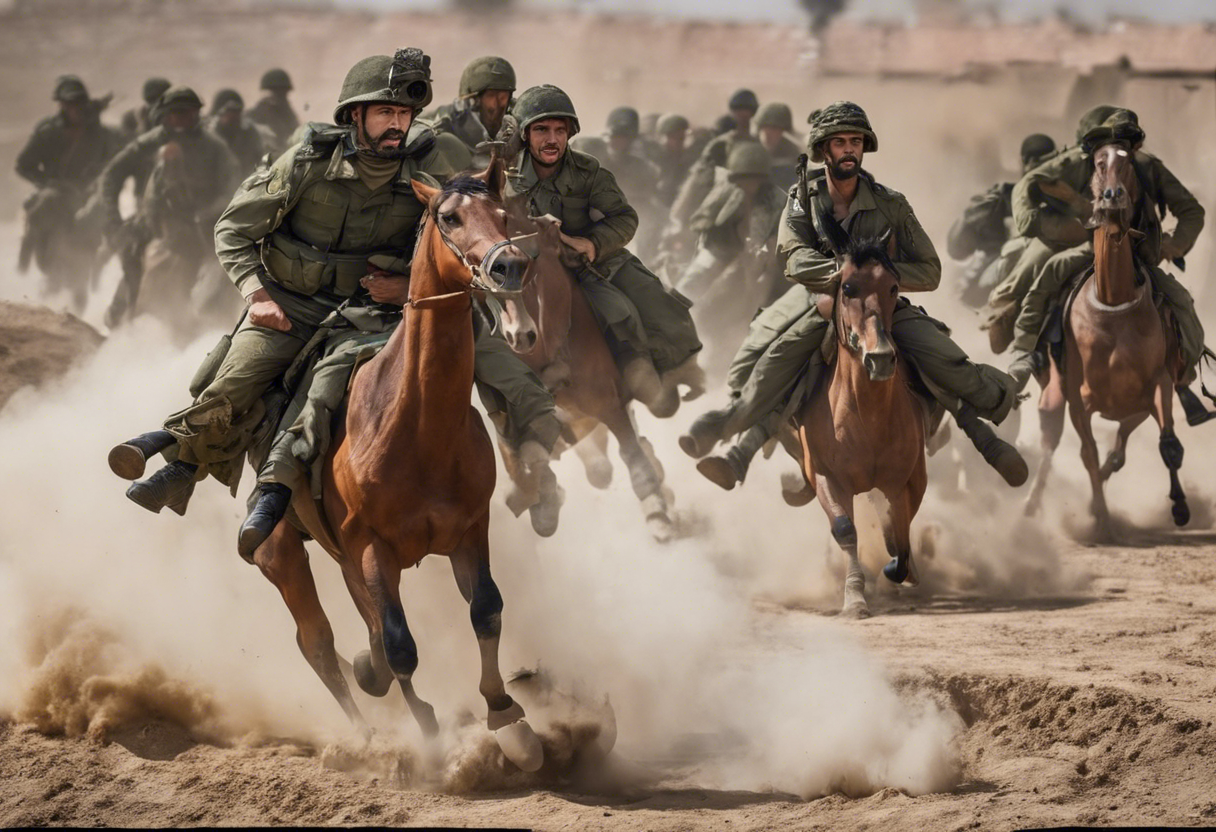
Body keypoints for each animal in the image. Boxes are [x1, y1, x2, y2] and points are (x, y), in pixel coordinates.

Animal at [251, 165, 542, 768]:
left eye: (505, 216)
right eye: (449, 217)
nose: (508, 266)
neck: (419, 430)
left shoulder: (468, 529)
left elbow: (486, 609)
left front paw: (506, 714)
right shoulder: (371, 548)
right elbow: (402, 644)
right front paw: (430, 737)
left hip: (342, 557)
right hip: (281, 550)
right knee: (317, 641)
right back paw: (362, 735)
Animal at [783, 233, 924, 617]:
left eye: (893, 286)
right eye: (847, 287)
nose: (880, 359)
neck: (867, 416)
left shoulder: (904, 480)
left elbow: (900, 534)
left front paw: (897, 569)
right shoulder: (825, 475)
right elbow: (846, 529)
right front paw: (855, 597)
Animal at [1021, 141, 1181, 540]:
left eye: (1129, 164)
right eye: (1098, 163)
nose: (1112, 196)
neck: (1113, 305)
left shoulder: (1158, 385)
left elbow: (1168, 443)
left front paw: (1180, 506)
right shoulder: (1079, 398)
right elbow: (1087, 452)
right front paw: (1102, 517)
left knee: (1121, 442)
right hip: (1053, 395)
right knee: (1051, 442)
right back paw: (1032, 504)